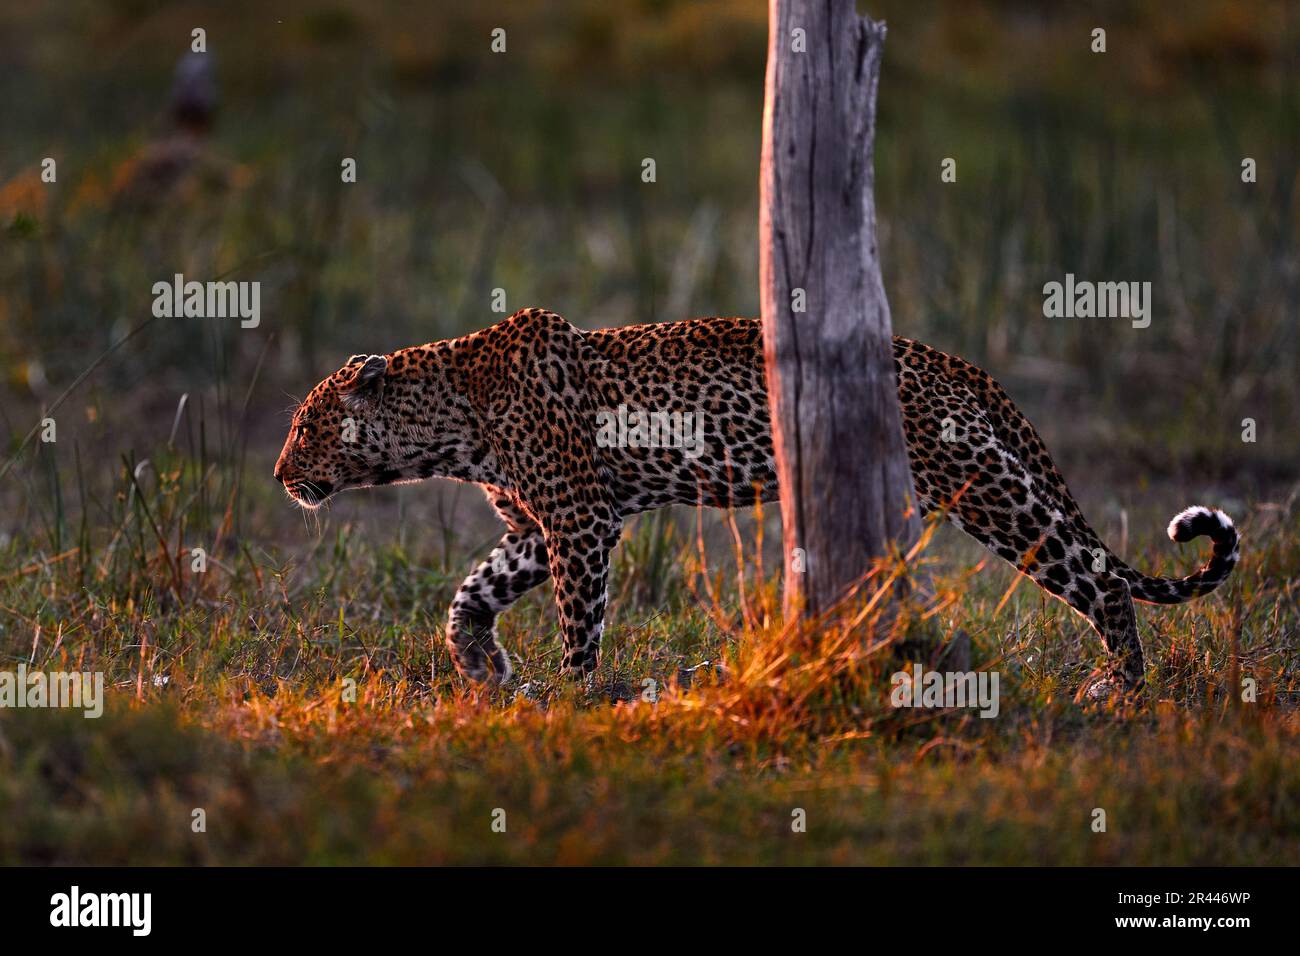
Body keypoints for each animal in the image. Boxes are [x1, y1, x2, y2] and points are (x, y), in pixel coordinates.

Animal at [274, 308, 1239, 697]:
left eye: (309, 425)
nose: (281, 475)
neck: (450, 422)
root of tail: (950, 359)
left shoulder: (580, 522)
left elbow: (579, 620)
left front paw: (572, 695)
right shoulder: (541, 528)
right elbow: (468, 594)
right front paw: (482, 665)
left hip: (986, 490)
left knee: (1099, 580)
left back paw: (1120, 688)